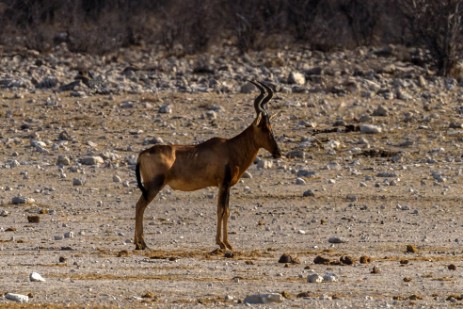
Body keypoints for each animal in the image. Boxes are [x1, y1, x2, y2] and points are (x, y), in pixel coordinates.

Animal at [132, 80, 280, 250]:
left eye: (271, 127)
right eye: (265, 128)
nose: (278, 152)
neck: (231, 147)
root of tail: (143, 153)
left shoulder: (225, 185)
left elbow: (224, 210)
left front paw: (226, 243)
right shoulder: (224, 184)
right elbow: (222, 210)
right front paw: (223, 243)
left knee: (140, 206)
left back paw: (139, 243)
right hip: (153, 186)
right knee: (140, 206)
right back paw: (141, 243)